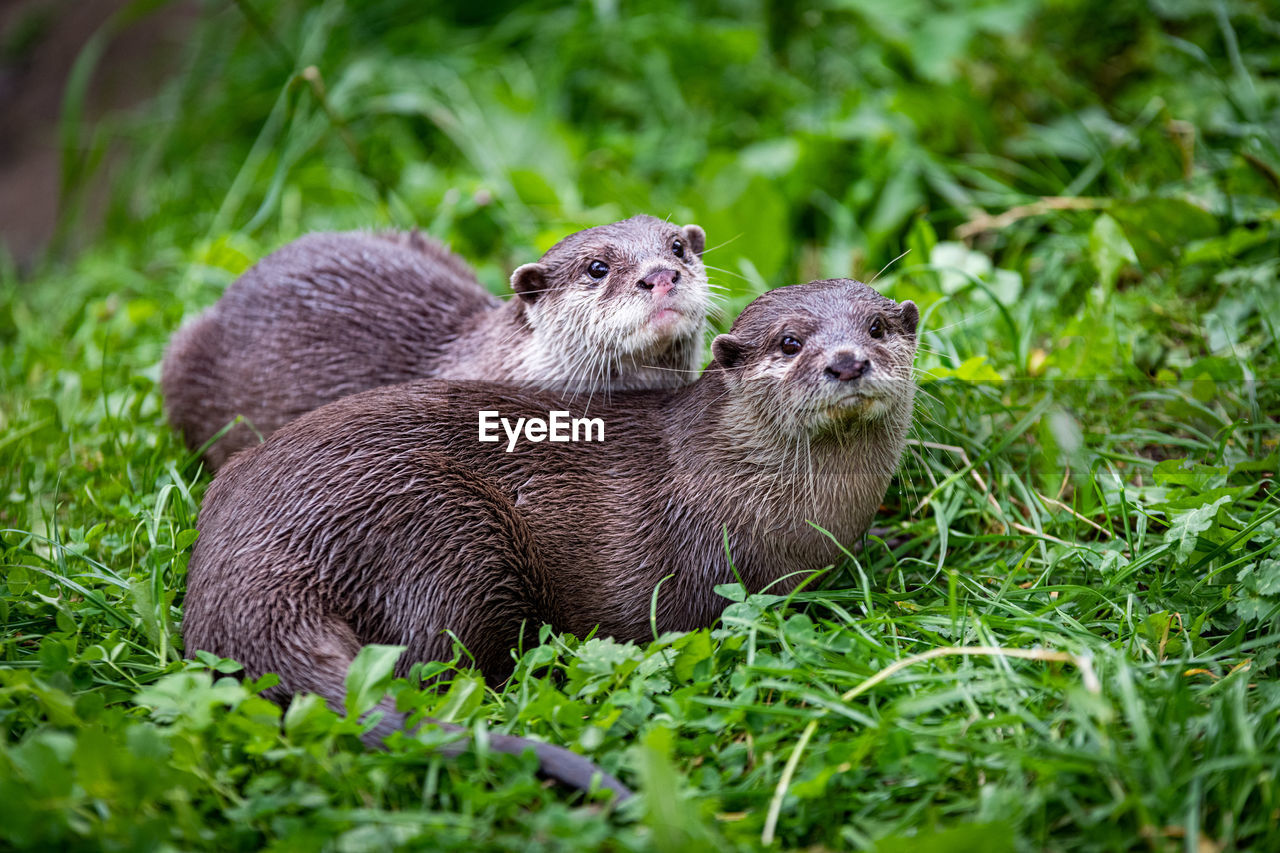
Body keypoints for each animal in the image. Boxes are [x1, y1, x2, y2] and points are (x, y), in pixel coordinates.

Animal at [183, 279, 921, 799]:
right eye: (791, 342)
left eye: (877, 326)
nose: (847, 361)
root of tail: (249, 561)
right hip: (444, 532)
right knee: (428, 661)